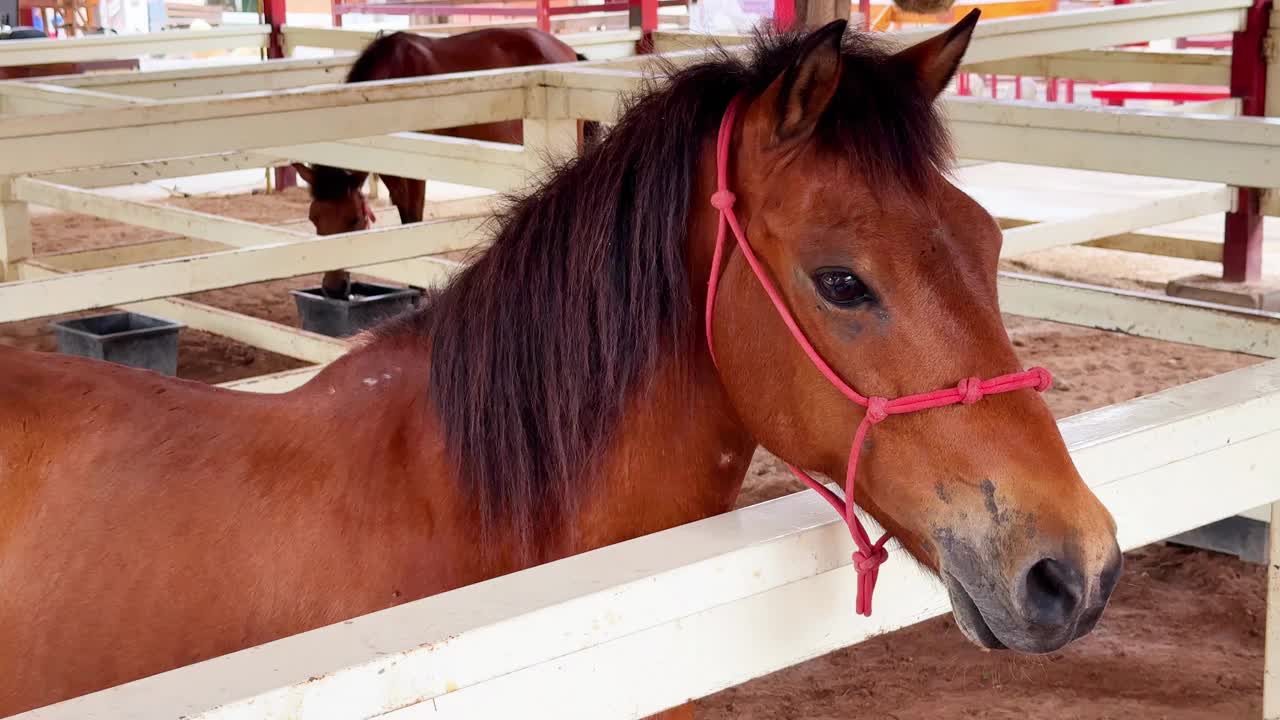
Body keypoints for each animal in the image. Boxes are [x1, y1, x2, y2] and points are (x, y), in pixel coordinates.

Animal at [290, 28, 593, 297]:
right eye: (314, 218)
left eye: (355, 219)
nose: (334, 288)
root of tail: (566, 52)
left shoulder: (415, 171)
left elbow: (413, 219)